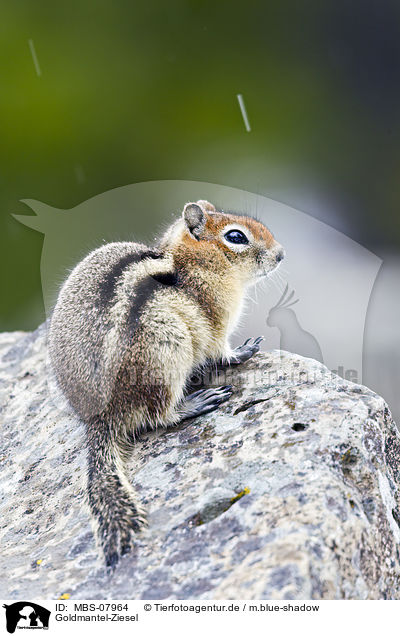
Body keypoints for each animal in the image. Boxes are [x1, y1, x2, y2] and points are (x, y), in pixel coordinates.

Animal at [47, 199, 284, 568]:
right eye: (236, 237)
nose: (281, 254)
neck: (193, 263)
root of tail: (100, 417)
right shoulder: (216, 323)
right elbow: (222, 352)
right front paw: (244, 351)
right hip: (166, 350)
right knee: (158, 415)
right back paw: (196, 402)